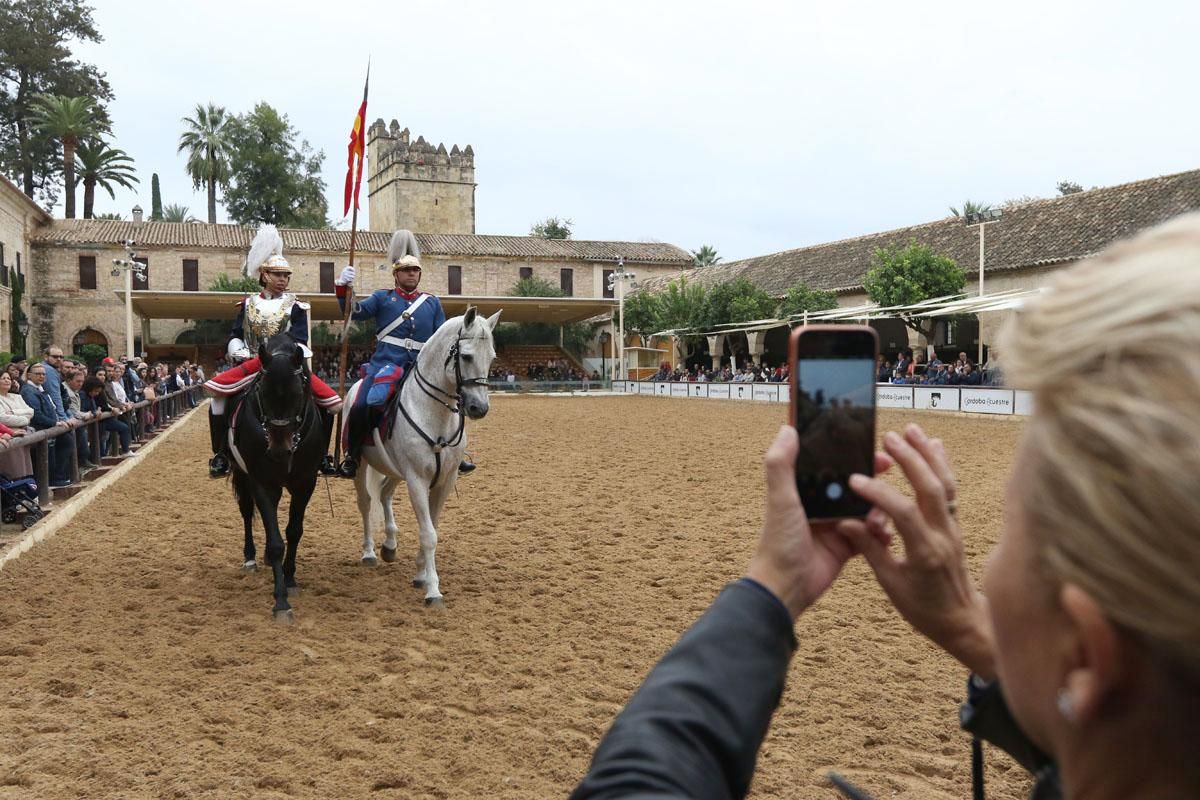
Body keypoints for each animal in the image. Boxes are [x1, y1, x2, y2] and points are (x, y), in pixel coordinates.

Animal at [229, 335, 328, 623]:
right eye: (262, 393)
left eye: (298, 394)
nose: (279, 452)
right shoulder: (261, 482)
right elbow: (275, 542)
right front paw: (280, 601)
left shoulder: (305, 483)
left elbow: (293, 531)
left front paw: (290, 578)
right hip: (242, 474)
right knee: (247, 512)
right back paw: (250, 557)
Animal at [345, 307, 499, 606]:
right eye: (466, 356)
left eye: (492, 357)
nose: (479, 408)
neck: (434, 413)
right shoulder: (417, 479)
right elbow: (428, 534)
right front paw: (433, 590)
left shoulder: (444, 481)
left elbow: (432, 526)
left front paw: (421, 575)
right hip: (361, 466)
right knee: (366, 502)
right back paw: (369, 552)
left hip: (395, 470)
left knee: (385, 494)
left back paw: (389, 545)